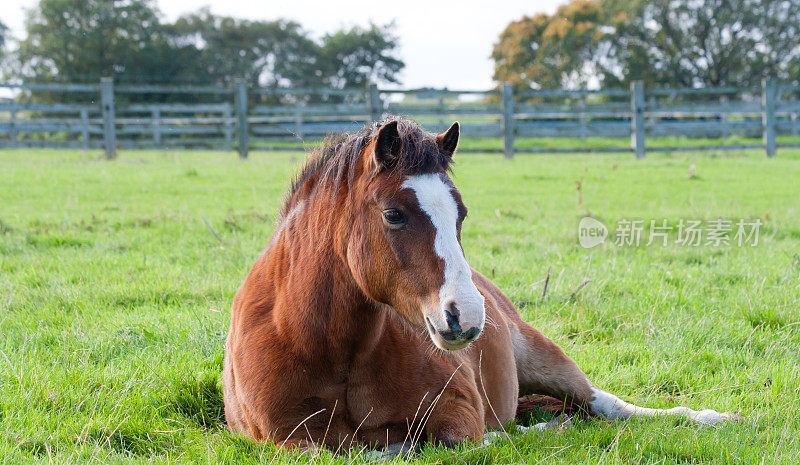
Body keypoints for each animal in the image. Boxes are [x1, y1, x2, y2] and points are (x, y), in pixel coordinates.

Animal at [222, 117, 740, 454]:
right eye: (394, 214)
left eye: (461, 214)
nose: (467, 317)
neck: (326, 348)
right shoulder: (284, 440)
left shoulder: (458, 413)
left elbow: (451, 444)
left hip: (543, 357)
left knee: (605, 405)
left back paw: (708, 418)